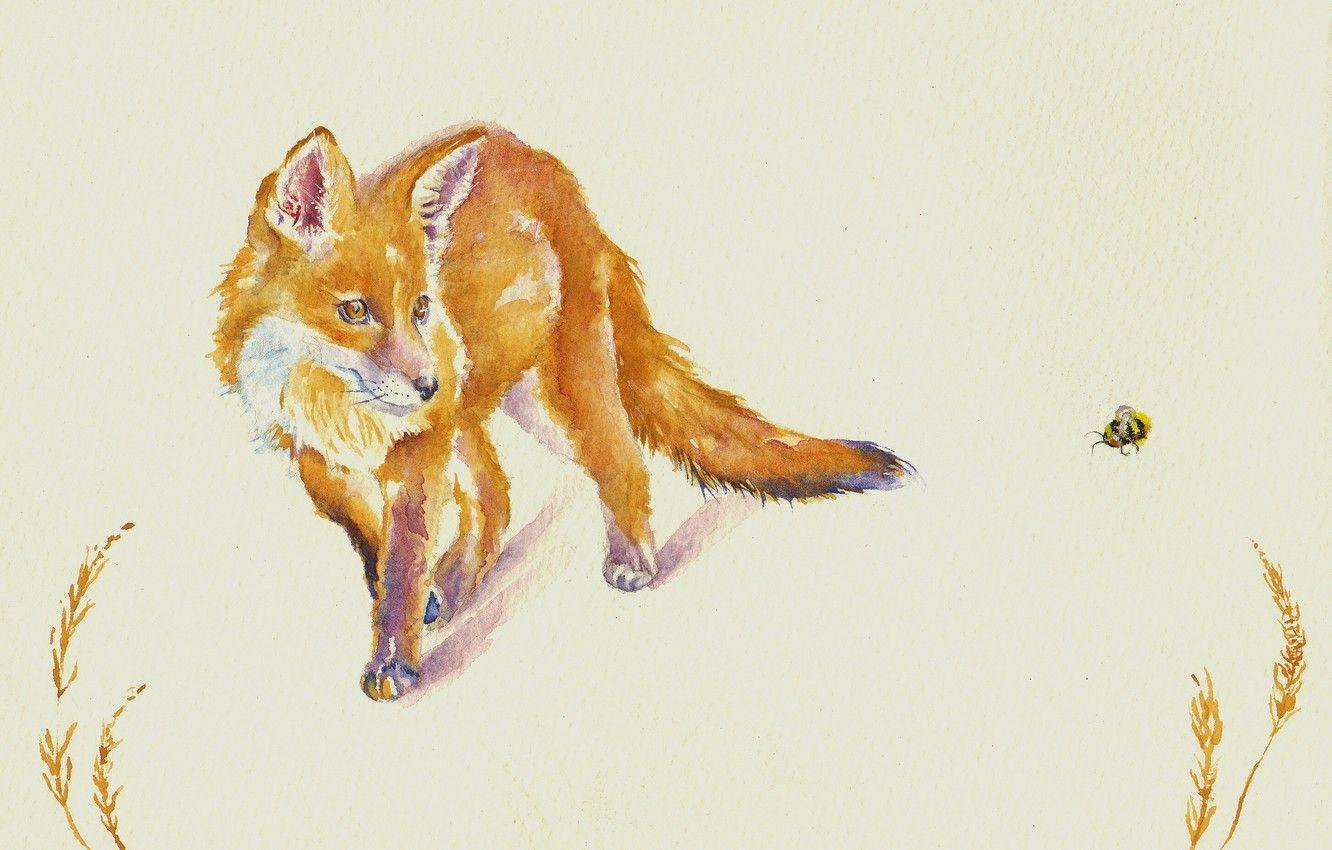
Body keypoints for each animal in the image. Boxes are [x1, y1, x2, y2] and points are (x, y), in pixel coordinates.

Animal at [211, 123, 915, 701]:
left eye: (419, 308)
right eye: (355, 311)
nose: (427, 382)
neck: (333, 401)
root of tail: (542, 163)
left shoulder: (418, 450)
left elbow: (403, 565)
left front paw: (395, 659)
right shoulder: (318, 463)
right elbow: (373, 547)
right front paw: (417, 604)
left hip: (554, 400)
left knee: (622, 463)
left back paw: (632, 560)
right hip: (479, 410)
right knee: (496, 498)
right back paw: (459, 582)